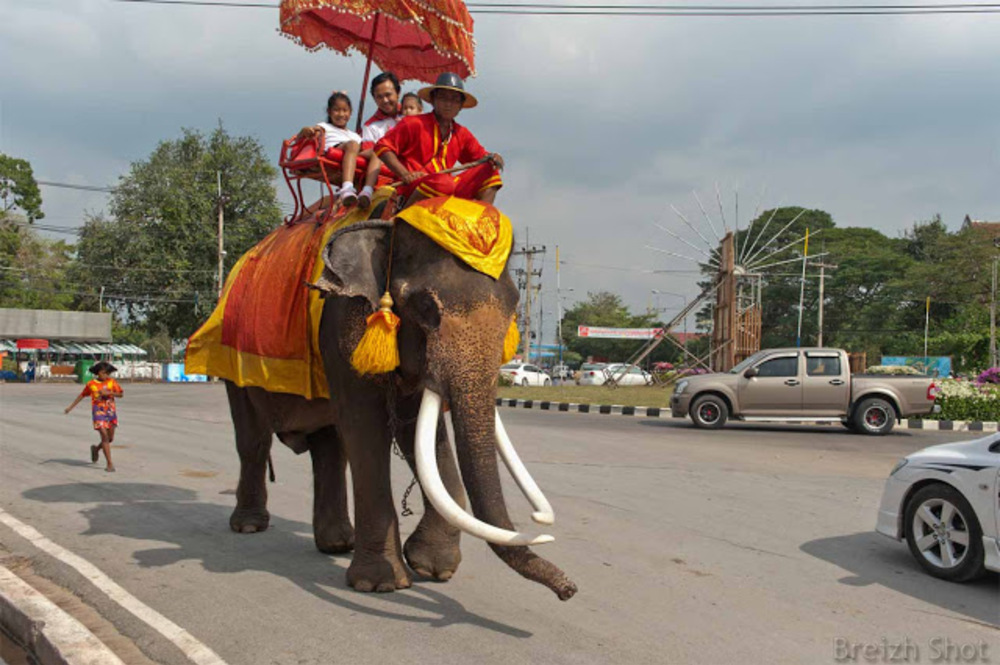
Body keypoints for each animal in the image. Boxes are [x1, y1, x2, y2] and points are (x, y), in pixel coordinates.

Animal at [222, 219, 576, 600]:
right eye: (425, 306)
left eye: (513, 305)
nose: (568, 590)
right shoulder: (344, 321)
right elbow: (364, 423)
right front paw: (380, 583)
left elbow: (416, 427)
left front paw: (432, 567)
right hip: (233, 365)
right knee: (253, 440)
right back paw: (249, 526)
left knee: (329, 448)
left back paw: (337, 544)